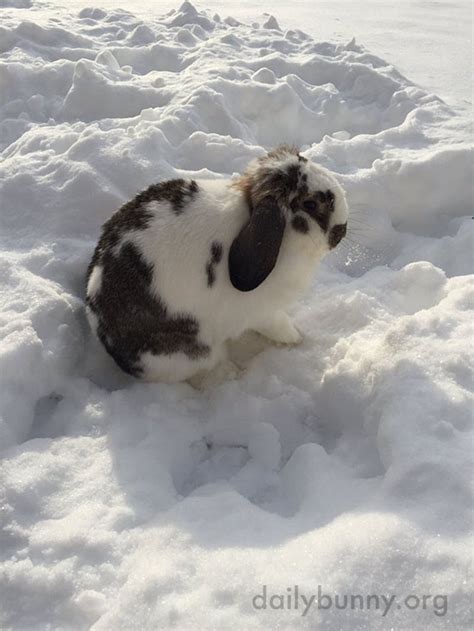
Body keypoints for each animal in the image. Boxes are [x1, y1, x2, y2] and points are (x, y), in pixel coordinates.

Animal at [86, 147, 348, 386]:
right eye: (310, 204)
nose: (342, 229)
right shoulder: (263, 312)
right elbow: (279, 326)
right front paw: (297, 339)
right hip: (195, 352)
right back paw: (233, 374)